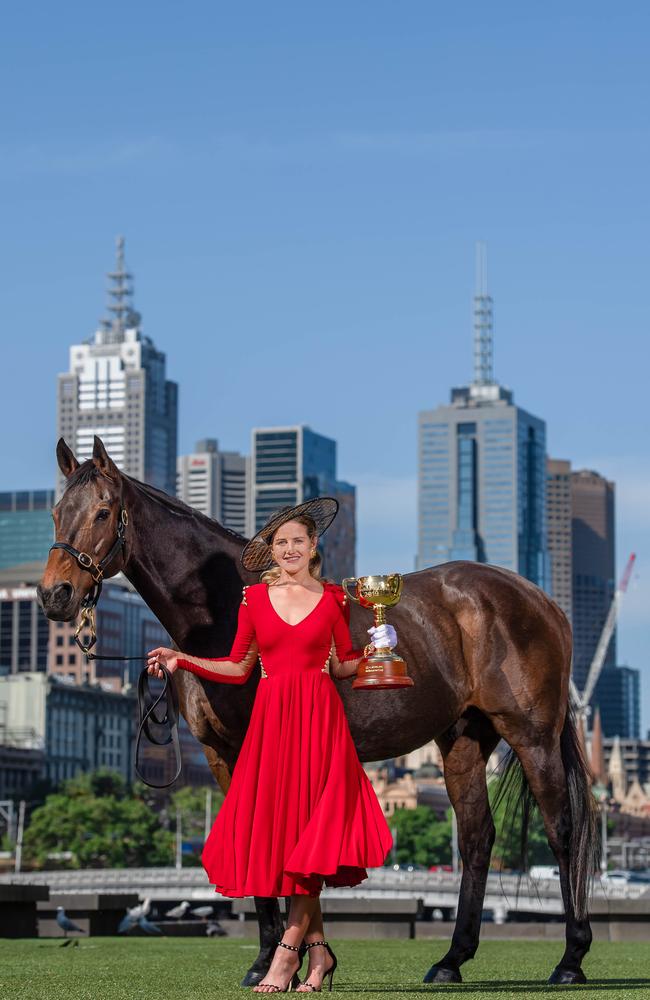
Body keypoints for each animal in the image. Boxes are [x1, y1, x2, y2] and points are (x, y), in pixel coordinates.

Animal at [38, 438, 596, 984]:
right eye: (56, 513)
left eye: (103, 512)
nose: (54, 594)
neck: (224, 609)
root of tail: (540, 599)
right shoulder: (221, 753)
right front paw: (279, 959)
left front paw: (286, 960)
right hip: (463, 739)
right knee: (477, 838)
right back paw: (451, 959)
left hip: (532, 737)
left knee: (564, 832)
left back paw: (570, 959)